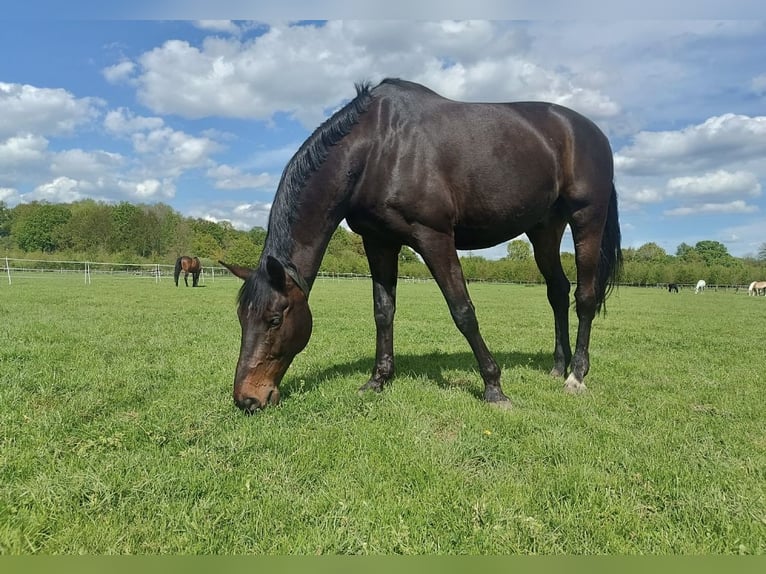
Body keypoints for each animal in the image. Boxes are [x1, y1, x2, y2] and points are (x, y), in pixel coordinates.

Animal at [218, 77, 624, 414]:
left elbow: (463, 311)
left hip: (586, 218)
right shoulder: (379, 241)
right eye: (241, 317)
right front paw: (378, 379)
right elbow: (383, 310)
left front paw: (494, 388)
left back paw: (576, 376)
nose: (247, 398)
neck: (378, 148)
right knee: (558, 291)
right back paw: (557, 367)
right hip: (544, 229)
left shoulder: (433, 236)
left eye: (274, 319)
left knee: (585, 297)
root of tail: (593, 132)